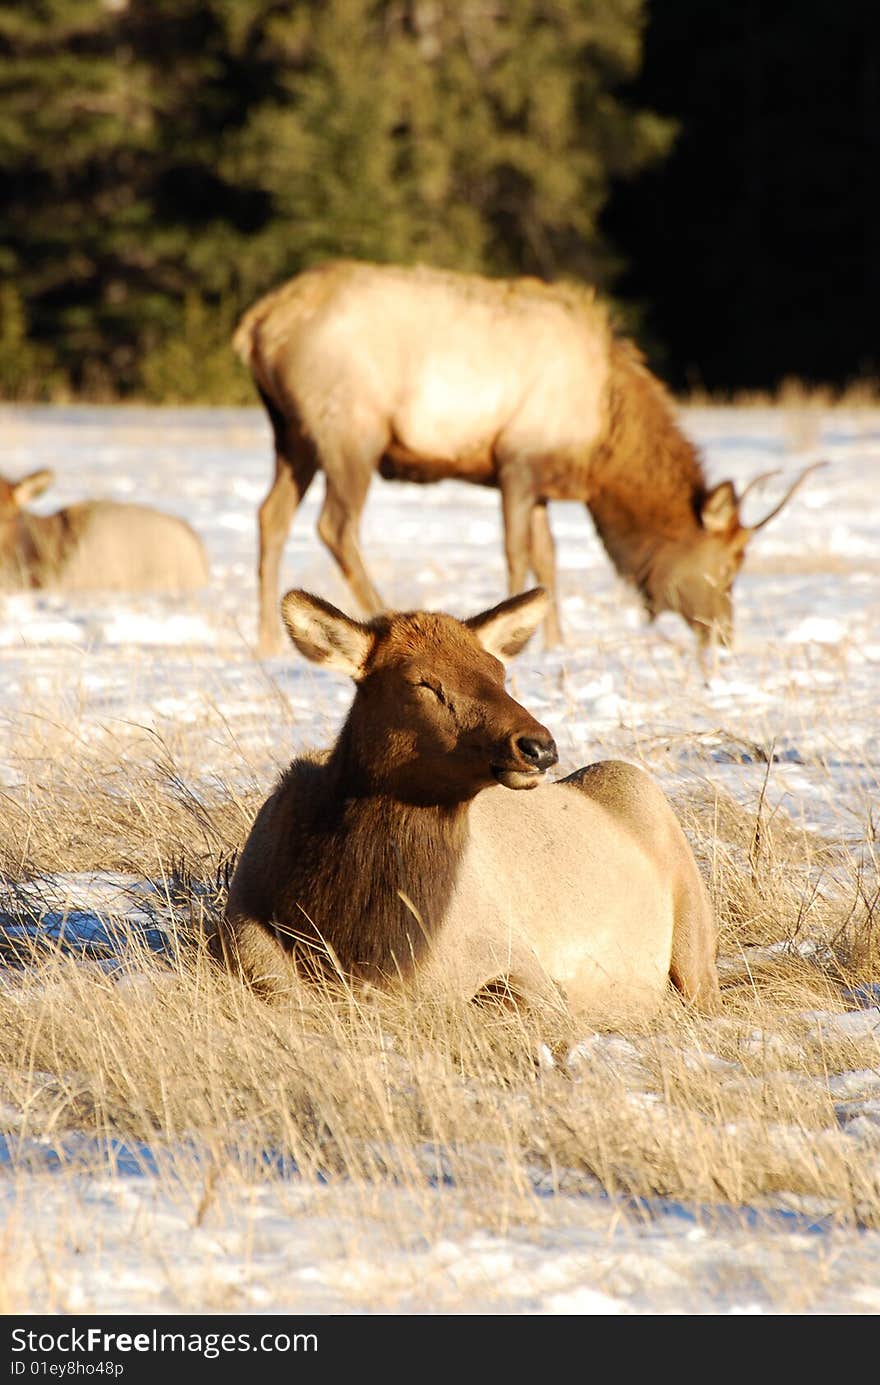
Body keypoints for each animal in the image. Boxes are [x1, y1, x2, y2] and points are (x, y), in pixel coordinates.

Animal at [213, 584, 720, 1030]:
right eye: (421, 681)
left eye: (498, 672)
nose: (539, 747)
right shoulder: (244, 945)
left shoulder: (516, 961)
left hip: (694, 927)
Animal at [234, 260, 825, 659]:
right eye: (729, 564)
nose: (725, 633)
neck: (599, 447)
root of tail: (257, 325)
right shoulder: (516, 463)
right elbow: (517, 553)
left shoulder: (541, 483)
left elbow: (548, 557)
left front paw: (556, 642)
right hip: (350, 430)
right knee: (336, 526)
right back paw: (380, 612)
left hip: (291, 434)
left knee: (270, 515)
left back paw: (266, 641)